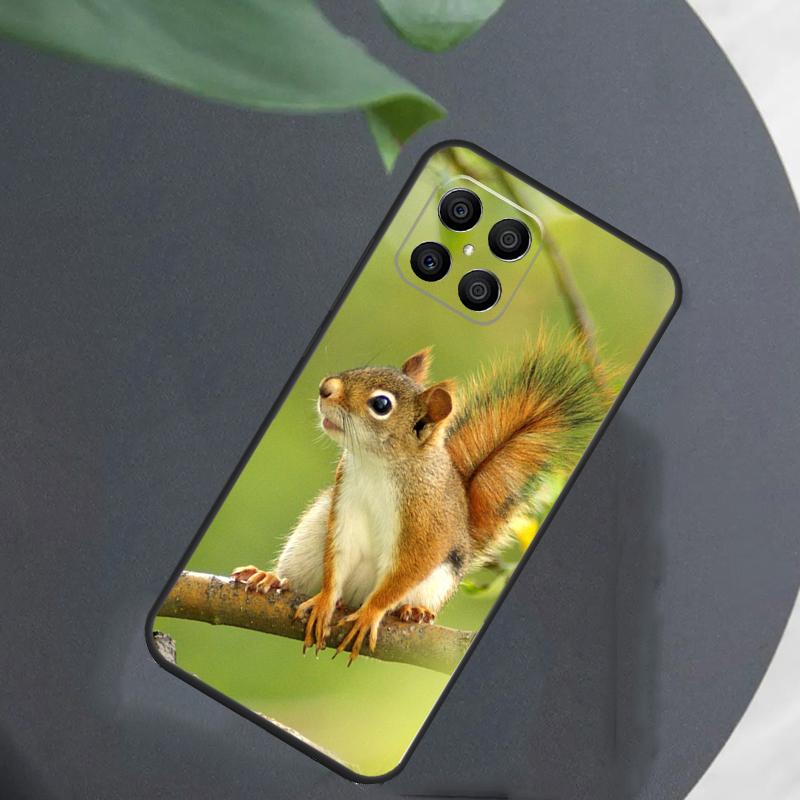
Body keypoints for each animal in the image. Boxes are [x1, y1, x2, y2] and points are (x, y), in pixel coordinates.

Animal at [232, 335, 607, 663]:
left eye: (381, 404)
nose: (326, 388)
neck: (377, 465)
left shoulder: (427, 523)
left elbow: (409, 567)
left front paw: (371, 614)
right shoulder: (345, 499)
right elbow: (339, 553)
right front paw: (325, 601)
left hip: (440, 577)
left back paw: (414, 611)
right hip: (308, 536)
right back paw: (272, 579)